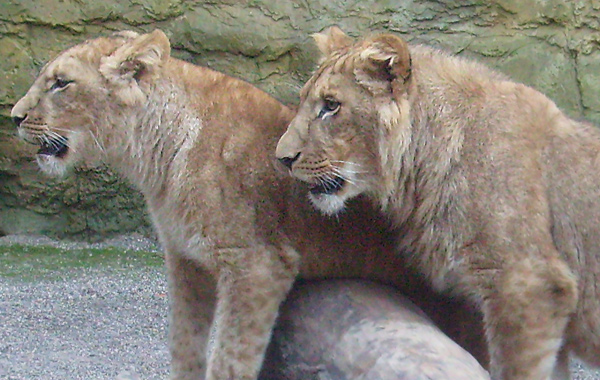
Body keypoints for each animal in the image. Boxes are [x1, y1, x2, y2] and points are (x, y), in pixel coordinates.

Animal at [10, 29, 482, 380]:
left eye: (61, 82)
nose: (14, 116)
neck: (155, 158)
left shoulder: (257, 265)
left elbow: (231, 358)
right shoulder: (185, 260)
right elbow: (184, 346)